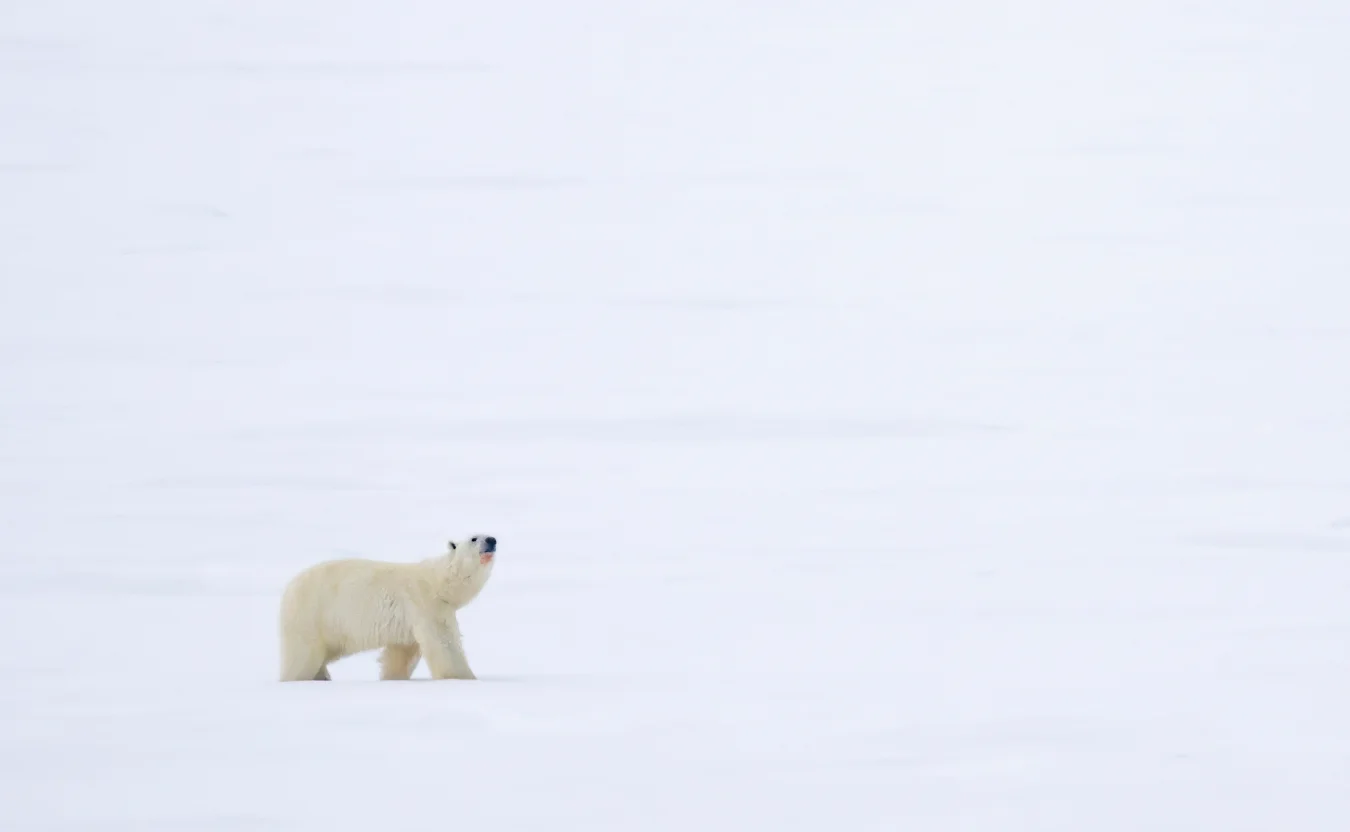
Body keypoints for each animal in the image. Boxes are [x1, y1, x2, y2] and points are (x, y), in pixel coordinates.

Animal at [278, 534, 498, 681]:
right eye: (474, 538)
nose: (492, 540)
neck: (437, 582)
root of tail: (288, 589)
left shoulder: (408, 623)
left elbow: (401, 653)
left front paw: (393, 678)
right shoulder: (425, 603)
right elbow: (444, 643)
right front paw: (463, 677)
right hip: (313, 613)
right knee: (304, 653)